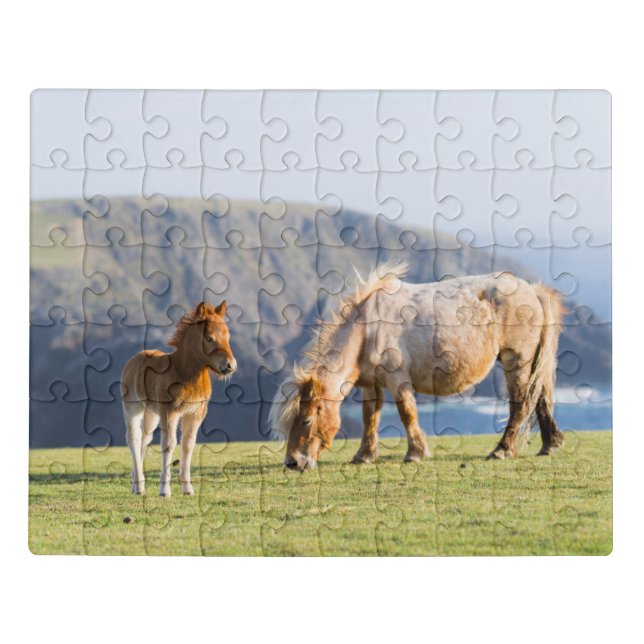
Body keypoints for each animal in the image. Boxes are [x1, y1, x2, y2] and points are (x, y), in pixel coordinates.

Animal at [120, 301, 237, 496]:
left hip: (152, 413)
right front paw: (164, 490)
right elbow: (169, 445)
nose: (229, 366)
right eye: (209, 338)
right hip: (133, 408)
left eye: (228, 335)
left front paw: (187, 488)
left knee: (145, 438)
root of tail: (135, 358)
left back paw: (137, 483)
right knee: (134, 439)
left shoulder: (195, 413)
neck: (184, 372)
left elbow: (187, 445)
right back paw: (139, 486)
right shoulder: (170, 412)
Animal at [270, 262, 565, 471]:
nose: (292, 463)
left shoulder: (397, 379)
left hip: (517, 361)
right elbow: (370, 417)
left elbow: (407, 413)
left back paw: (502, 450)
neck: (368, 328)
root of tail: (531, 290)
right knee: (539, 397)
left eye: (306, 420)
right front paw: (364, 456)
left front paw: (415, 453)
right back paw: (550, 445)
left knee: (521, 404)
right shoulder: (371, 384)